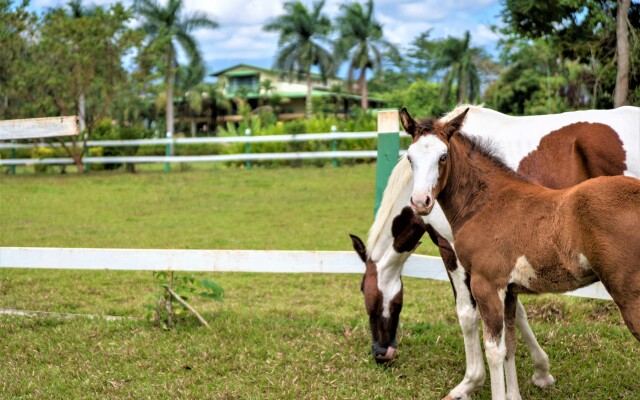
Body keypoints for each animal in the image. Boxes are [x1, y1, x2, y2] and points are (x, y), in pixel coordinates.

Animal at [350, 104, 640, 400]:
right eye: (410, 157)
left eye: (443, 156)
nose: (381, 353)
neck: (485, 201)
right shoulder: (507, 286)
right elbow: (510, 338)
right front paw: (538, 373)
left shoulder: (470, 269)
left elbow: (477, 327)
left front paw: (470, 382)